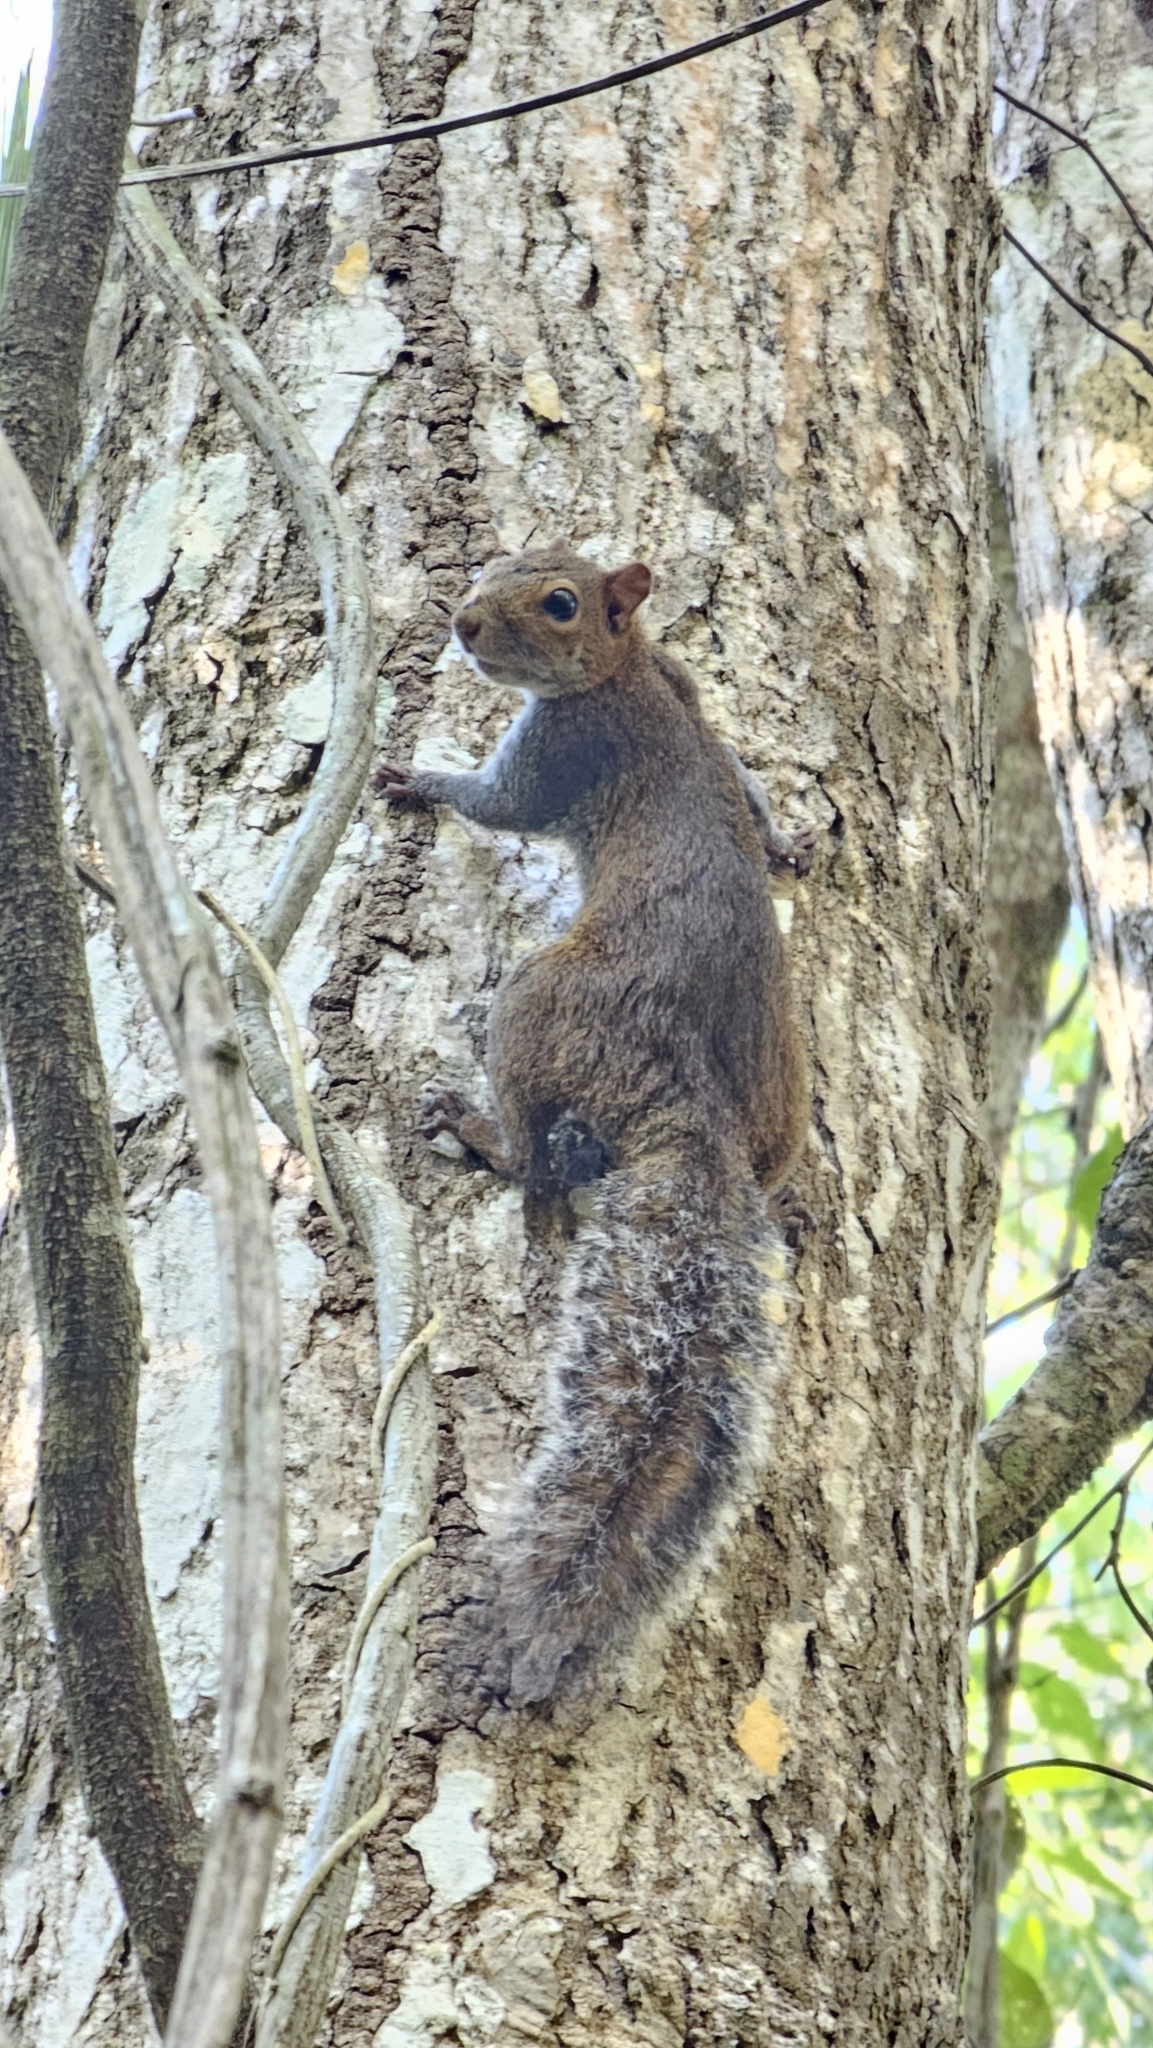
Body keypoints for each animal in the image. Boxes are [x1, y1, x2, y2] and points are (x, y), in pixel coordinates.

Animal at [378, 540, 810, 1695]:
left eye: (559, 603)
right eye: (494, 564)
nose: (461, 622)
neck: (624, 671)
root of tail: (695, 1109)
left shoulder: (559, 751)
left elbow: (495, 804)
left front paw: (417, 776)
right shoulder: (688, 687)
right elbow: (742, 773)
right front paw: (784, 839)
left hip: (540, 999)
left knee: (530, 1145)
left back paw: (484, 1130)